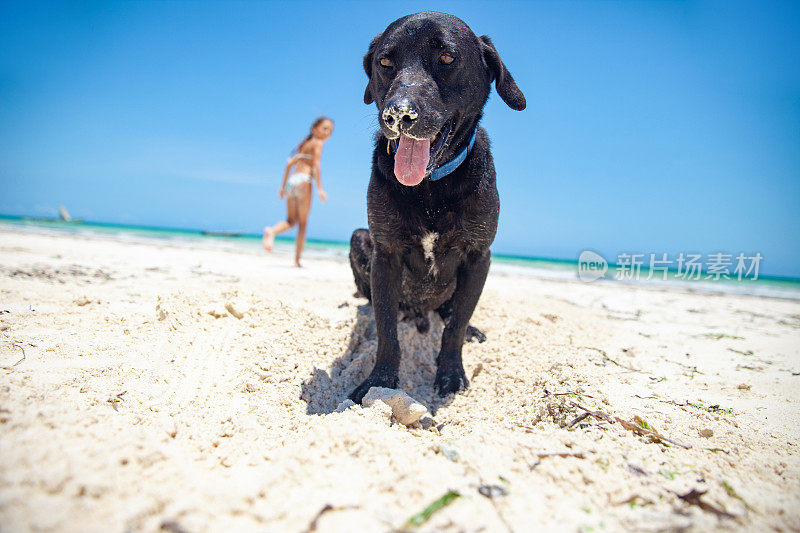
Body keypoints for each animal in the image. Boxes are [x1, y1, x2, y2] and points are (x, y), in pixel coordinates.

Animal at [348, 10, 524, 402]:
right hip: (359, 238)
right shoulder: (386, 253)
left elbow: (455, 325)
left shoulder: (478, 256)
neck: (431, 188)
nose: (398, 115)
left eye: (446, 58)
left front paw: (451, 374)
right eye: (385, 63)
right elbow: (387, 328)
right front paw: (379, 381)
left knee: (452, 312)